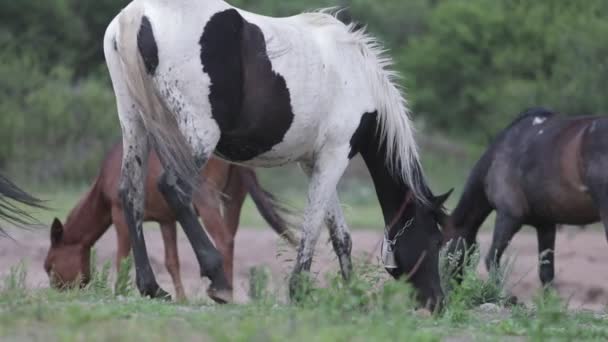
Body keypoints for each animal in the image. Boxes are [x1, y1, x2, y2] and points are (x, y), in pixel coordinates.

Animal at [44, 142, 296, 300]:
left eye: (48, 266)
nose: (56, 293)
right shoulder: (167, 221)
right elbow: (171, 262)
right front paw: (182, 298)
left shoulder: (120, 215)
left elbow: (122, 257)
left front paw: (119, 291)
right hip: (234, 198)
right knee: (230, 237)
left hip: (206, 198)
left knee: (223, 239)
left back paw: (222, 292)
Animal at [104, 1, 446, 308]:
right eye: (436, 239)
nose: (438, 302)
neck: (358, 75)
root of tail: (138, 14)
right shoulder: (334, 157)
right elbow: (313, 226)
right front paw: (300, 291)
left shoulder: (314, 162)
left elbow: (340, 235)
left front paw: (353, 295)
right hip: (198, 138)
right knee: (173, 188)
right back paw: (217, 279)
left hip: (135, 125)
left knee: (130, 194)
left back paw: (151, 286)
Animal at [442, 107, 608, 288]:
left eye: (444, 248)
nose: (446, 287)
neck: (495, 157)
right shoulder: (546, 225)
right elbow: (546, 273)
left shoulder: (509, 215)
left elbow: (492, 260)